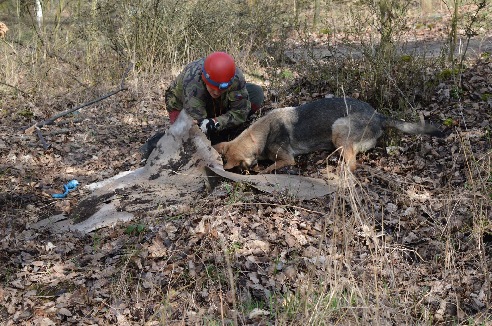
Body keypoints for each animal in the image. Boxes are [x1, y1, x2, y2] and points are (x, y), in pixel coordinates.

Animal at [213, 97, 444, 173]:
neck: (260, 134)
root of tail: (379, 116)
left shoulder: (287, 159)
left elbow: (270, 167)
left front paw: (261, 171)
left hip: (338, 128)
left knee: (352, 164)